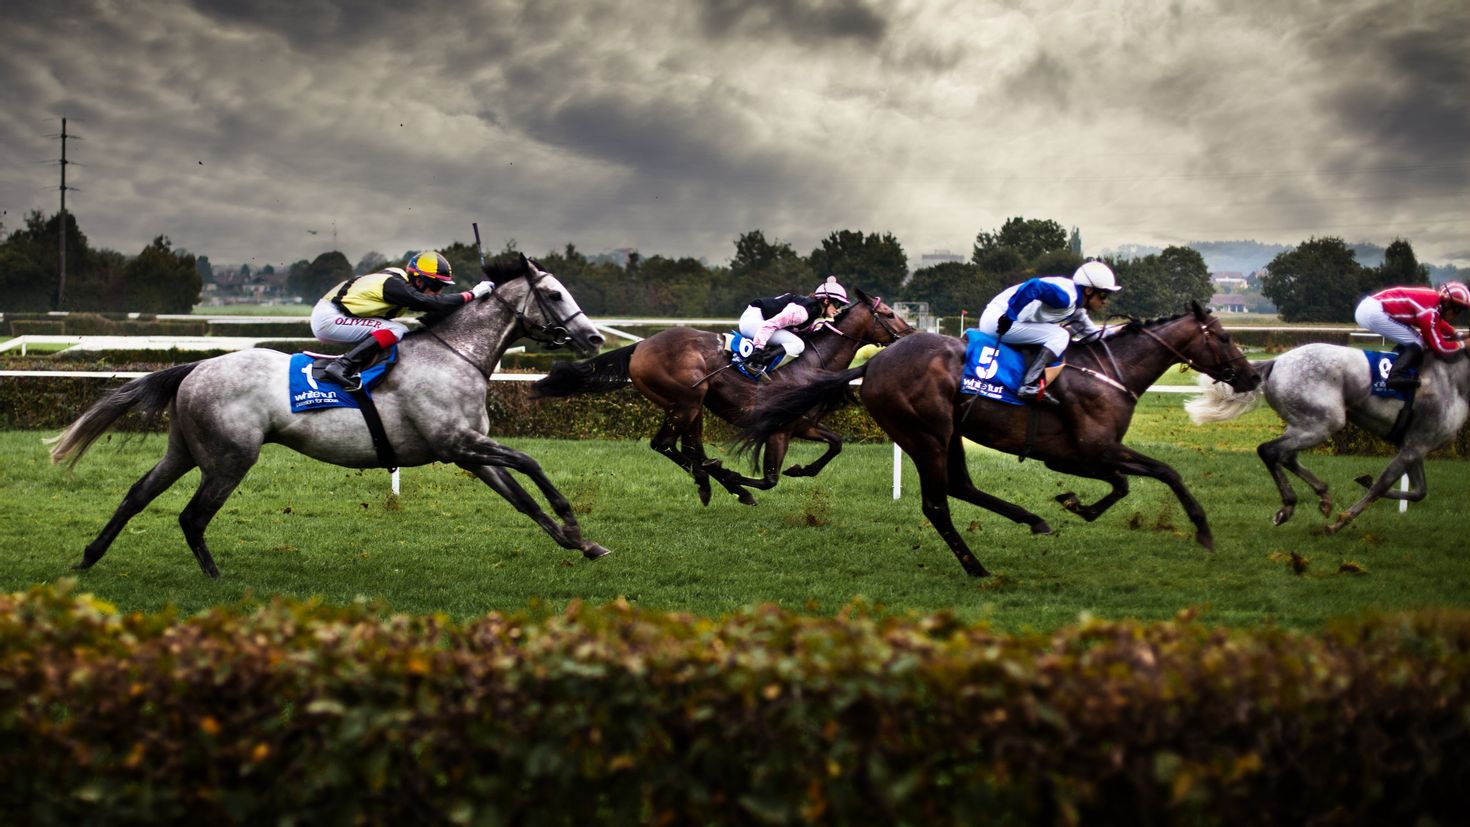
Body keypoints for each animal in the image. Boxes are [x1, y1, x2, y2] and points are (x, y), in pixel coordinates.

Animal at [47, 252, 608, 575]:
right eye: (553, 293)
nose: (593, 338)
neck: (454, 355)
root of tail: (197, 366)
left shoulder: (468, 452)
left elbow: (523, 499)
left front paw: (580, 544)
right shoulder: (457, 443)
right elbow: (533, 464)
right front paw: (572, 521)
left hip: (186, 449)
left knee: (137, 495)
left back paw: (89, 557)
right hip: (229, 458)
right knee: (192, 516)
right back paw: (215, 578)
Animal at [535, 287, 911, 508]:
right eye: (889, 314)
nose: (911, 334)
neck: (811, 367)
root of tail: (640, 345)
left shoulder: (800, 425)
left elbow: (835, 444)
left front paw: (800, 470)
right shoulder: (776, 429)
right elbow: (769, 479)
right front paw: (738, 478)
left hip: (692, 406)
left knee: (690, 450)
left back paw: (710, 483)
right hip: (686, 399)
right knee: (665, 444)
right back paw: (719, 481)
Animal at [740, 301, 1258, 578]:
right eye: (1225, 338)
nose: (1253, 376)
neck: (1110, 371)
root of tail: (873, 363)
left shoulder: (1076, 455)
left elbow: (1123, 482)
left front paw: (1075, 504)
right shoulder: (1091, 448)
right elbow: (1163, 471)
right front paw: (1204, 531)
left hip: (948, 432)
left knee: (960, 486)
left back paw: (1032, 520)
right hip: (926, 433)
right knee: (937, 503)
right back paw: (976, 565)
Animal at [1187, 340, 1464, 531]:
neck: (1452, 379)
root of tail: (1277, 361)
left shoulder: (1415, 444)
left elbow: (1419, 491)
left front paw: (1363, 484)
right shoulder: (1417, 443)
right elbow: (1385, 485)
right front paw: (1343, 519)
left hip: (1304, 422)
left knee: (1285, 455)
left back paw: (1321, 496)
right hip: (1324, 422)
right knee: (1271, 450)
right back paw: (1291, 505)